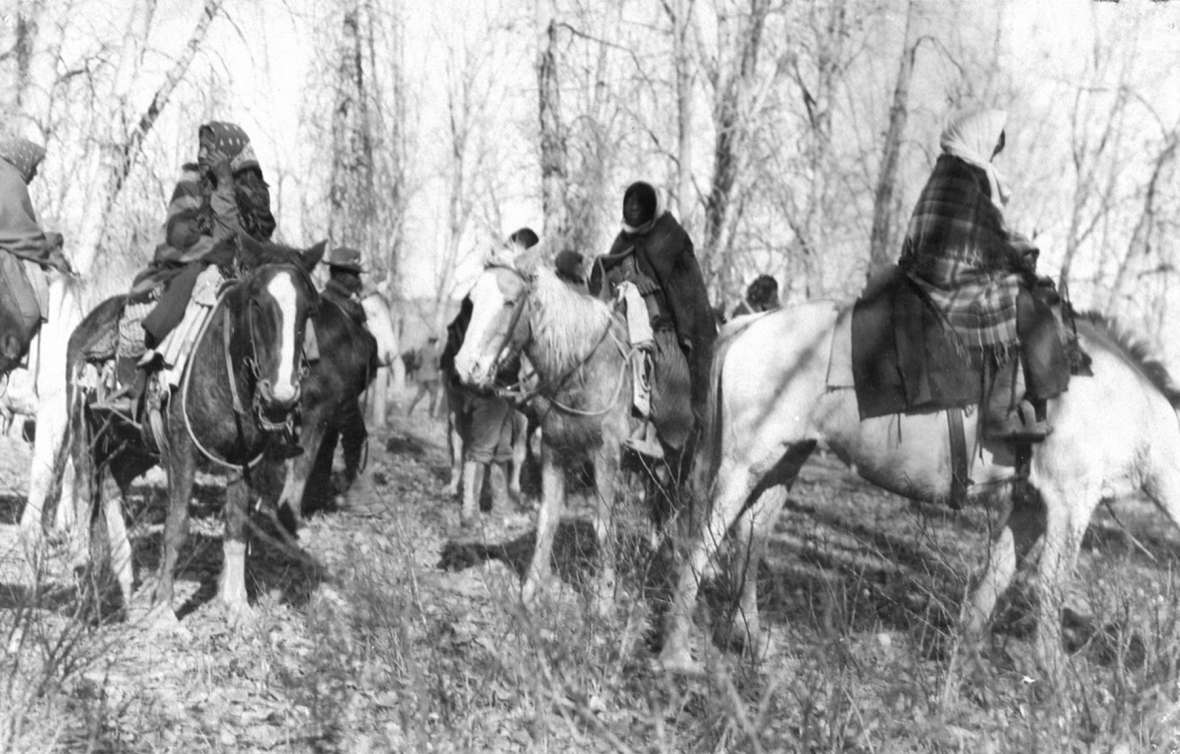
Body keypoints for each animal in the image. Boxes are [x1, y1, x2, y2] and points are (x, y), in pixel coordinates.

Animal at [69, 237, 328, 618]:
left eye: (309, 308)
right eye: (256, 301)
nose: (280, 396)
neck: (223, 367)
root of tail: (85, 326)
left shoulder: (244, 461)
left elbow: (236, 527)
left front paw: (237, 605)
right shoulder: (183, 454)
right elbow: (176, 527)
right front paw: (164, 608)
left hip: (138, 446)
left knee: (113, 484)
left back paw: (125, 577)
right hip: (84, 431)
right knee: (86, 491)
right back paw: (82, 570)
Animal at [660, 302, 1180, 684]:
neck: (1117, 398)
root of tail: (752, 322)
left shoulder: (1030, 507)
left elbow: (996, 578)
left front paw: (965, 664)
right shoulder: (1068, 506)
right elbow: (1052, 587)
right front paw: (1054, 676)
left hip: (786, 460)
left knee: (750, 536)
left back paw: (752, 640)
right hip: (746, 462)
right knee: (705, 538)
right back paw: (675, 653)